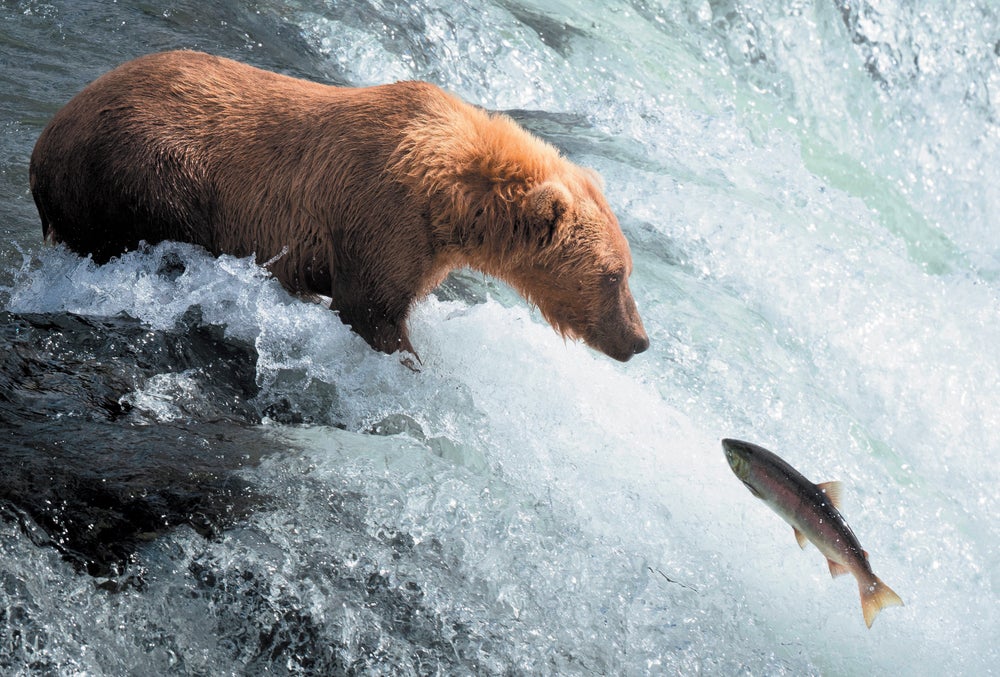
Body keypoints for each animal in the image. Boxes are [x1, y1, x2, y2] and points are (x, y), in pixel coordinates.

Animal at [29, 48, 648, 360]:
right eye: (613, 275)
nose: (640, 341)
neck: (451, 203)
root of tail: (42, 146)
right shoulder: (381, 216)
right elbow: (370, 310)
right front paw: (409, 362)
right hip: (145, 171)